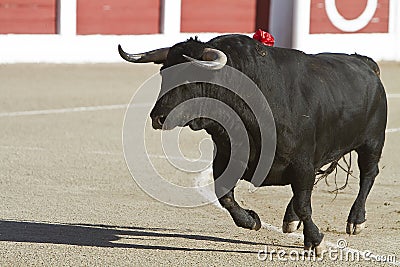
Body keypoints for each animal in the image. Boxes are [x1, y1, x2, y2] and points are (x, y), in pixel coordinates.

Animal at [119, 34, 388, 254]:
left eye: (191, 78)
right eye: (163, 74)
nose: (158, 118)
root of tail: (366, 63)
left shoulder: (301, 162)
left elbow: (304, 204)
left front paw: (315, 241)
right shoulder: (226, 156)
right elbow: (224, 196)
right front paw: (252, 221)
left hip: (372, 142)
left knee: (368, 175)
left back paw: (356, 220)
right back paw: (290, 219)